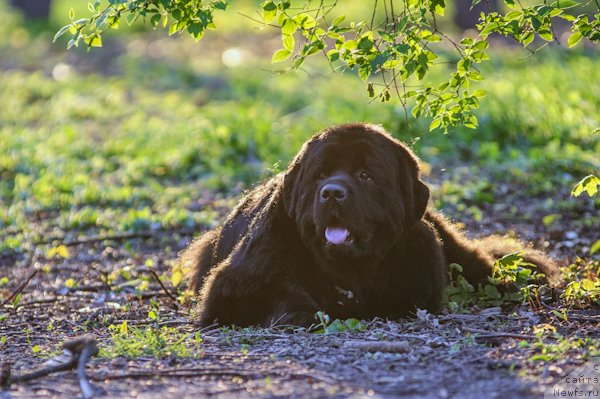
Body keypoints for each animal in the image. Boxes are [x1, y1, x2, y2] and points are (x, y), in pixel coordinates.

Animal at [180, 123, 560, 326]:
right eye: (320, 176)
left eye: (365, 176)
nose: (332, 193)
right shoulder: (238, 280)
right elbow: (280, 289)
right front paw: (305, 310)